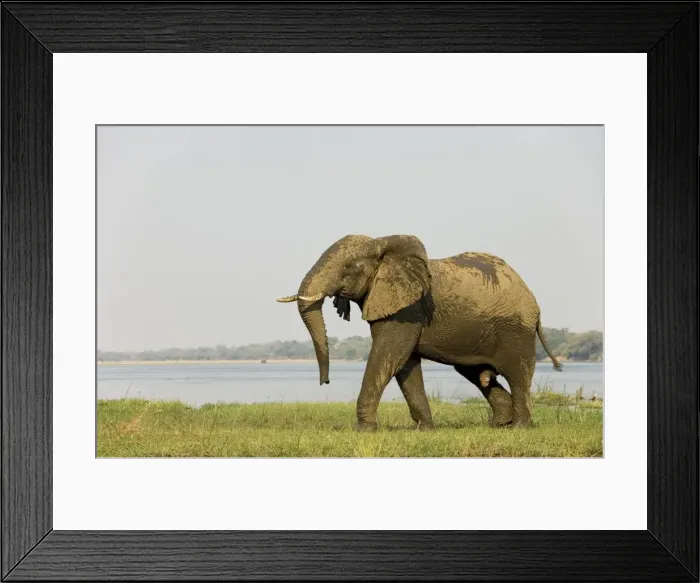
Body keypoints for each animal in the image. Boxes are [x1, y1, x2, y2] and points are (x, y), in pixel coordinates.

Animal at [277, 234, 562, 431]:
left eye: (348, 268)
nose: (324, 382)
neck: (382, 246)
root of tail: (532, 298)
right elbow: (405, 364)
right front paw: (425, 430)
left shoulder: (408, 308)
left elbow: (389, 355)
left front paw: (363, 430)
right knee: (477, 374)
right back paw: (498, 426)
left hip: (516, 329)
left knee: (518, 374)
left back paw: (519, 427)